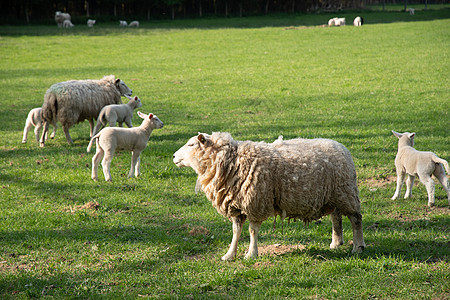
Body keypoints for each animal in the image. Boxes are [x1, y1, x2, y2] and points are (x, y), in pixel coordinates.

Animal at [172, 132, 366, 260]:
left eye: (191, 145)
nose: (173, 156)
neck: (231, 161)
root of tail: (341, 146)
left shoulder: (255, 202)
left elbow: (252, 231)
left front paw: (251, 254)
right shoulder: (236, 206)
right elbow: (235, 231)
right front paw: (229, 254)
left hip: (346, 192)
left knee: (356, 219)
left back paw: (358, 247)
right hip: (333, 195)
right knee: (336, 217)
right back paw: (336, 243)